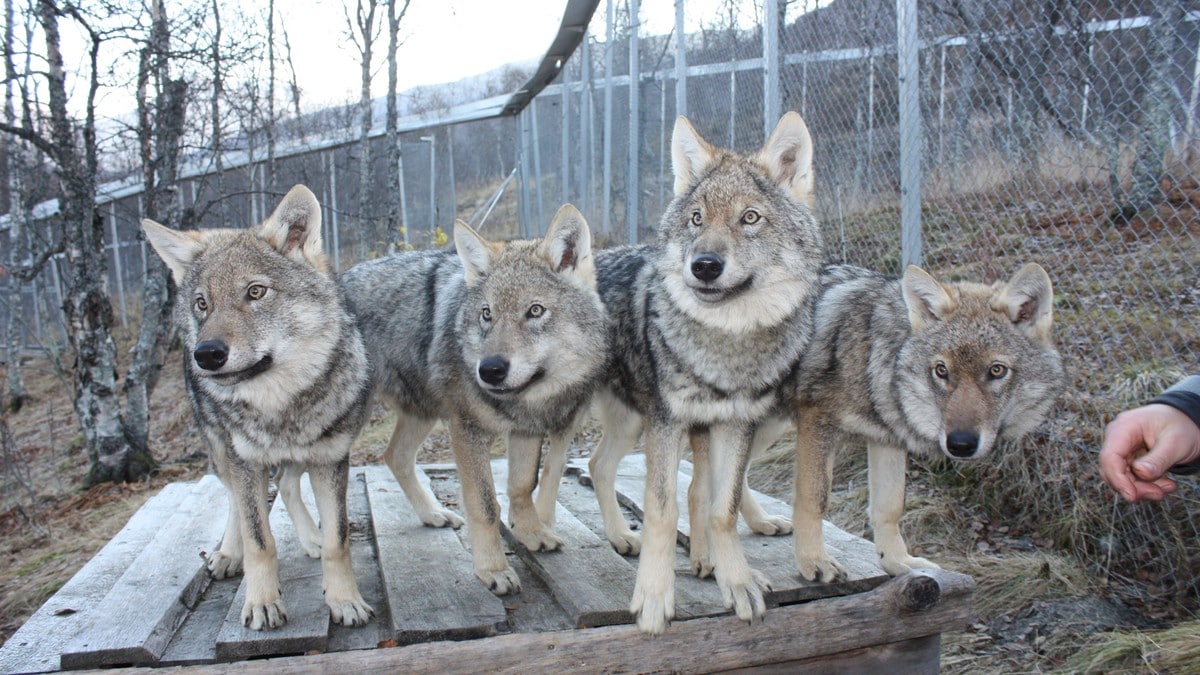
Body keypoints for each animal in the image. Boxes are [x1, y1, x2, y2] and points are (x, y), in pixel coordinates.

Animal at [141, 184, 374, 629]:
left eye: (255, 292)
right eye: (202, 303)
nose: (206, 355)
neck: (280, 407)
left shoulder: (330, 459)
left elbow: (338, 541)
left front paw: (345, 600)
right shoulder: (245, 460)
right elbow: (259, 538)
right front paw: (262, 603)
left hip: (296, 458)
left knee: (285, 484)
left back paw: (310, 538)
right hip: (221, 452)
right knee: (236, 501)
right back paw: (228, 555)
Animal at [340, 201, 609, 590]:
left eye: (535, 310)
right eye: (487, 315)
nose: (490, 369)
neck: (524, 400)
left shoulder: (526, 430)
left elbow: (522, 486)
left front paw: (531, 533)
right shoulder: (466, 430)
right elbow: (485, 505)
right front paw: (493, 569)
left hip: (422, 413)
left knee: (394, 457)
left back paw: (433, 514)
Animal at [588, 112, 825, 634]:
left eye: (750, 218)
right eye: (696, 218)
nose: (704, 265)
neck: (725, 344)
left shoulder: (734, 422)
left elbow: (722, 508)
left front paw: (736, 581)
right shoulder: (667, 422)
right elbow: (663, 509)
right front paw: (654, 597)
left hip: (643, 423)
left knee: (600, 466)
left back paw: (629, 539)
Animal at [792, 261, 1065, 578]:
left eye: (997, 370)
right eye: (941, 370)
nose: (961, 444)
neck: (876, 357)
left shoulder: (886, 439)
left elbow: (890, 506)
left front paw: (897, 561)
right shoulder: (816, 422)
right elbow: (814, 498)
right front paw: (814, 561)